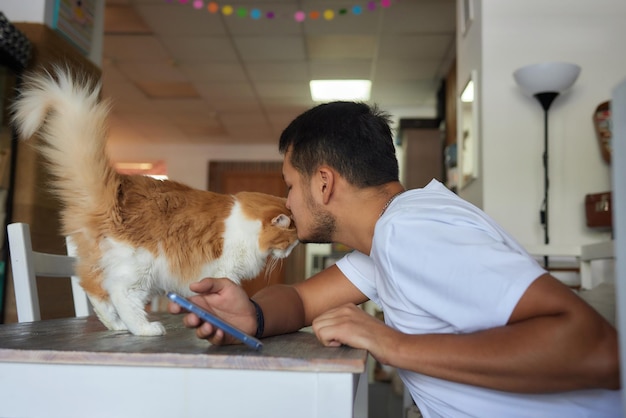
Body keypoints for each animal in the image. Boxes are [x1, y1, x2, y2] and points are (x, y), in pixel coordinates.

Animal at [11, 68, 298, 336]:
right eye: (291, 240)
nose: (291, 251)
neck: (246, 225)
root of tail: (116, 189)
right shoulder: (223, 271)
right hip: (140, 269)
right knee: (120, 294)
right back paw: (146, 329)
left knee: (93, 287)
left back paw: (115, 325)